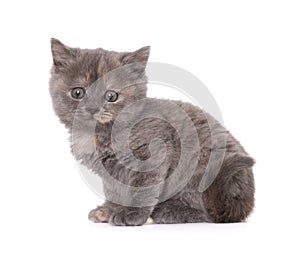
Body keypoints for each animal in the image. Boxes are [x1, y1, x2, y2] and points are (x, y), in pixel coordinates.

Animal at [49, 38, 255, 226]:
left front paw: (131, 214)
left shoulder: (153, 154)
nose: (92, 109)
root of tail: (244, 204)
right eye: (78, 92)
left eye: (111, 96)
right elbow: (114, 191)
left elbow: (142, 188)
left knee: (208, 214)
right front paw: (109, 210)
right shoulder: (110, 173)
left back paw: (169, 211)